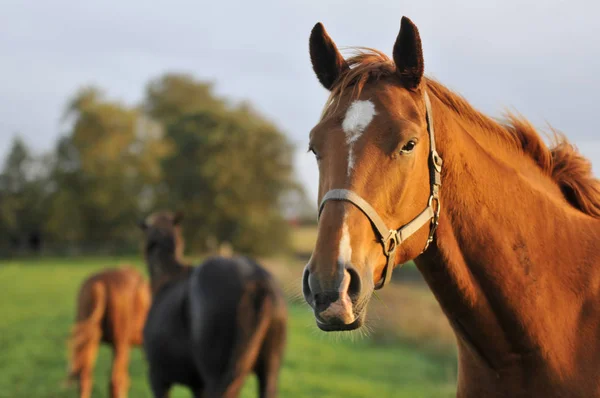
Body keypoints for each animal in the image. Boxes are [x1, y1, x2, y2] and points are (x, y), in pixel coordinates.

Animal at [141, 211, 290, 398]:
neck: (166, 278)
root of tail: (256, 280)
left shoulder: (158, 378)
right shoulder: (197, 386)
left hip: (215, 376)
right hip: (269, 371)